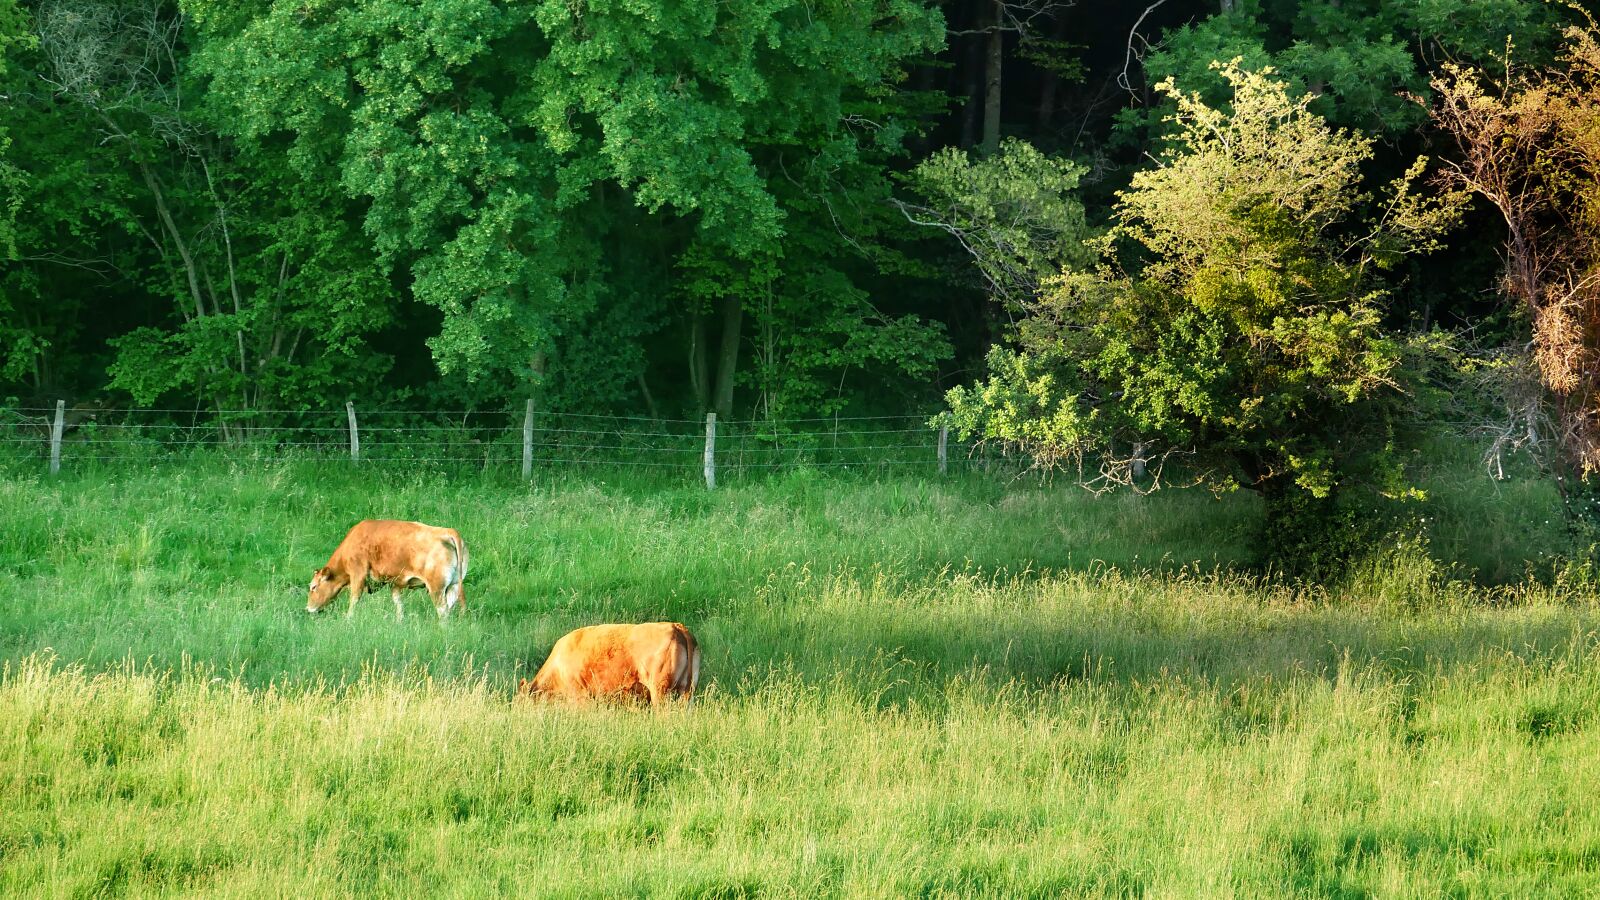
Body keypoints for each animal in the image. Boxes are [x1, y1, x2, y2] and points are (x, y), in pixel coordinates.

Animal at [305, 518, 467, 614]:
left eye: (313, 587)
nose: (308, 608)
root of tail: (447, 531)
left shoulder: (358, 573)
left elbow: (354, 599)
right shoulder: (396, 583)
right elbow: (398, 604)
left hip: (436, 589)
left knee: (443, 611)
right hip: (453, 586)